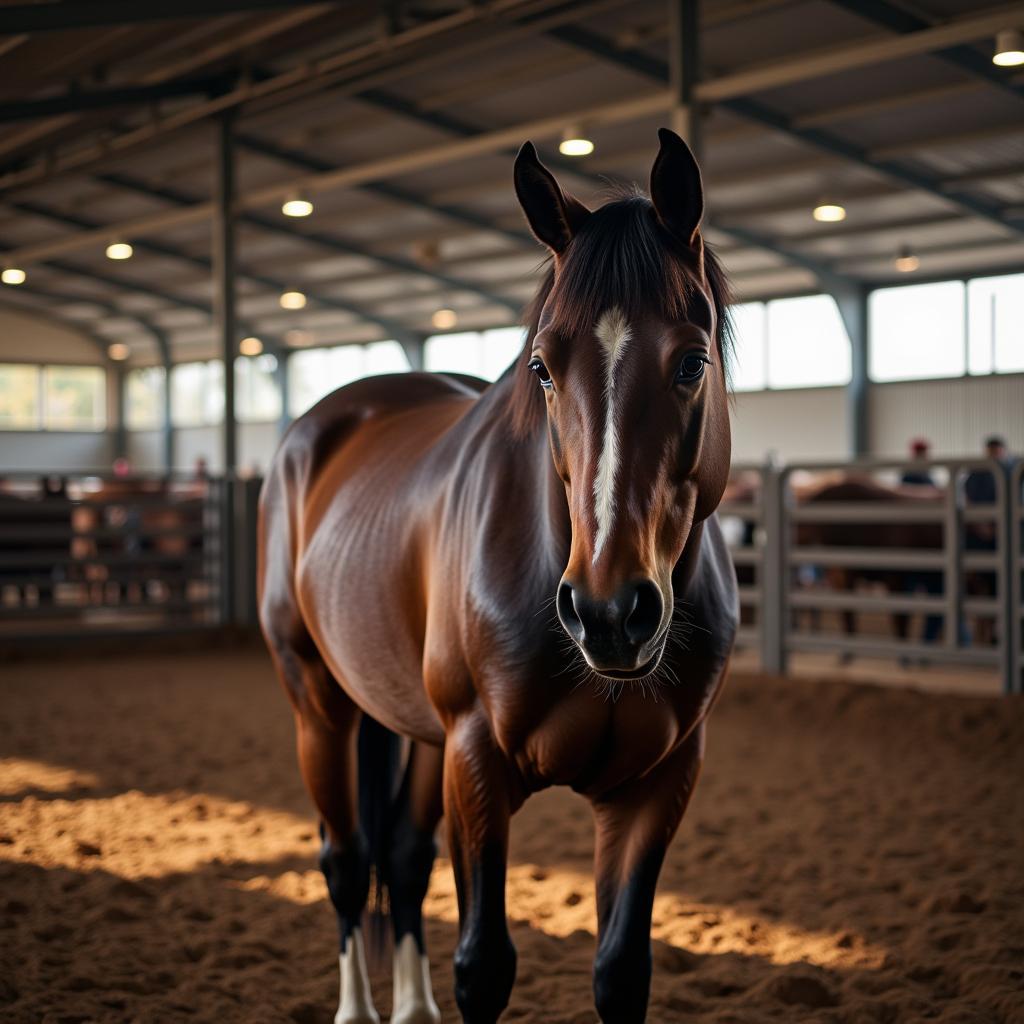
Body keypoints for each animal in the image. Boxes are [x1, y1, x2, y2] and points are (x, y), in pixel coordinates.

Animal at [256, 130, 737, 1024]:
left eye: (692, 362)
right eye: (542, 367)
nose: (608, 611)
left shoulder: (657, 786)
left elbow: (621, 971)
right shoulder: (475, 763)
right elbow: (483, 965)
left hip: (417, 731)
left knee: (401, 858)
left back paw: (411, 1009)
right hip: (320, 705)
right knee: (346, 861)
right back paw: (359, 1009)